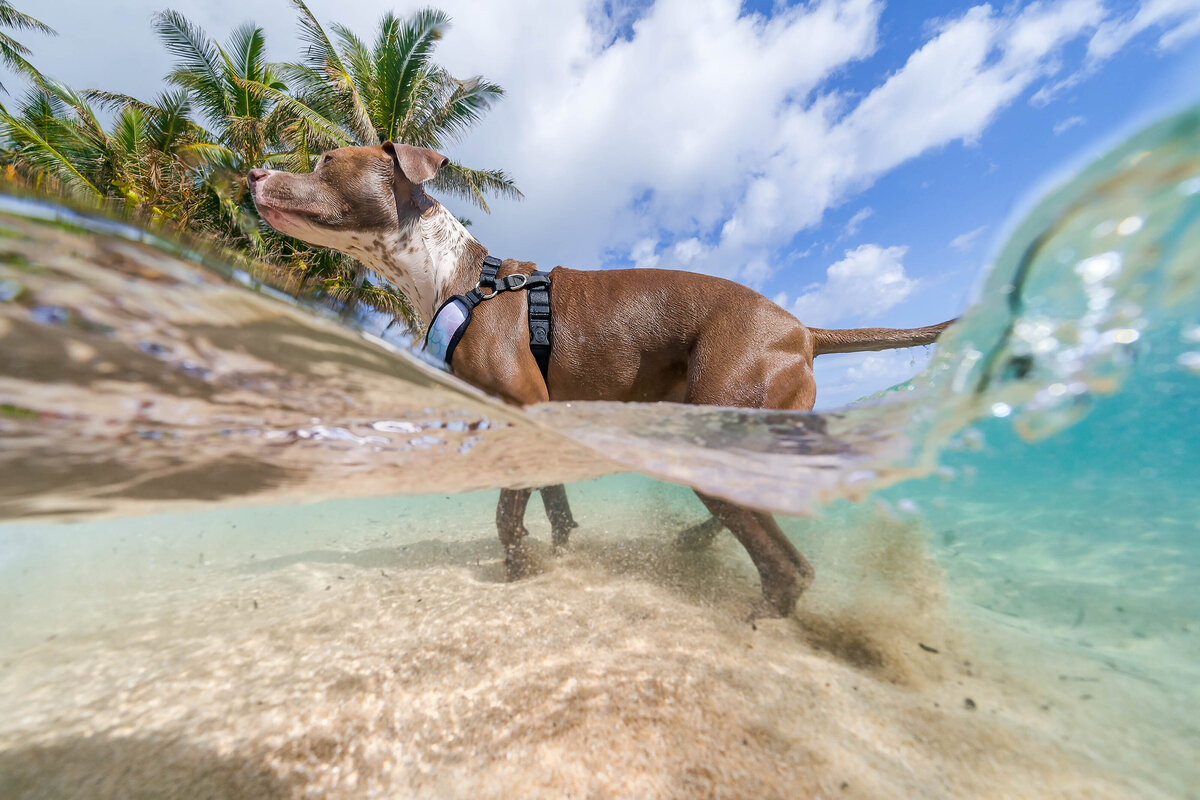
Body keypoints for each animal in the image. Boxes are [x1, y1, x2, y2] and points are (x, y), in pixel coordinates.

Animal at [248, 143, 950, 618]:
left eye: (325, 160)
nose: (252, 173)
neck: (454, 276)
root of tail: (804, 330)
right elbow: (552, 501)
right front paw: (557, 553)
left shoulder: (523, 413)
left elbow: (507, 513)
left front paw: (518, 571)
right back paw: (696, 546)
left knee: (786, 563)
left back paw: (762, 621)